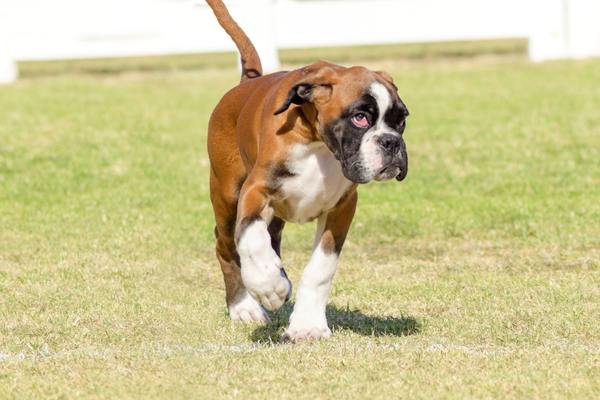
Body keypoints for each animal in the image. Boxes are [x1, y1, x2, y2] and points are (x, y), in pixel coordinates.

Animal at [205, 0, 408, 344]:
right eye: (360, 118)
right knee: (227, 244)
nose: (391, 142)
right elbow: (250, 237)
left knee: (271, 236)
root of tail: (246, 83)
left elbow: (320, 268)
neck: (319, 144)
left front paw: (307, 324)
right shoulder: (256, 189)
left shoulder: (342, 208)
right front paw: (266, 283)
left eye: (402, 120)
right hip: (227, 194)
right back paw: (244, 305)